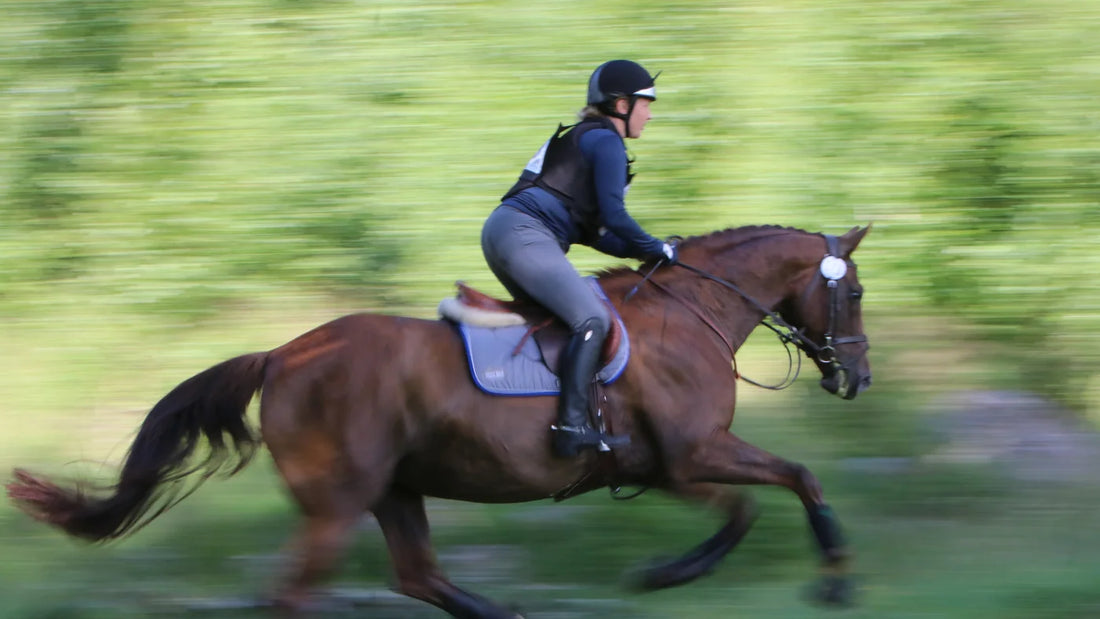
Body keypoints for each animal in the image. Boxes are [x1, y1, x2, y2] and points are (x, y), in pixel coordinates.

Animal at [6, 225, 866, 615]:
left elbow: (783, 486)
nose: (855, 376)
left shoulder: (670, 466)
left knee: (417, 573)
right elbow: (775, 490)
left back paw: (504, 612)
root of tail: (280, 355)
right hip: (338, 500)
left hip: (395, 487)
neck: (691, 313)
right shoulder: (686, 458)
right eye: (852, 291)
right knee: (302, 593)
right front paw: (686, 573)